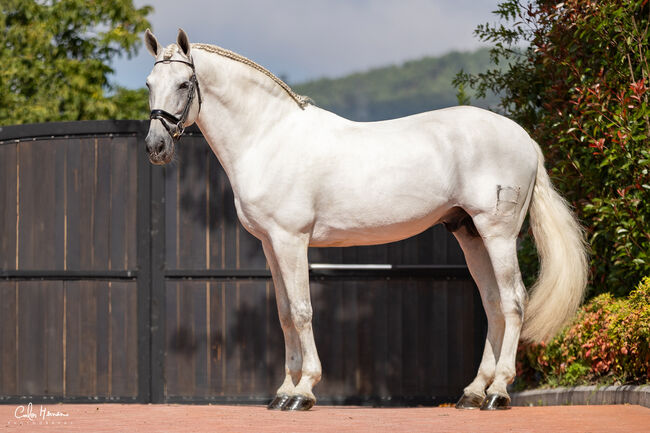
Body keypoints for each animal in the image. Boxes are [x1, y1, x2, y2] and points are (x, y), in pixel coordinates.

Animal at [142, 29, 588, 408]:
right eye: (148, 83)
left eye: (184, 84)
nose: (155, 147)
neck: (269, 137)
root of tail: (525, 139)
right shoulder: (270, 243)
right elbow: (284, 313)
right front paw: (282, 392)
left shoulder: (291, 239)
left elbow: (302, 310)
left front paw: (303, 392)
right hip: (470, 233)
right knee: (493, 303)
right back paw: (473, 392)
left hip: (498, 234)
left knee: (513, 302)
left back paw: (498, 393)